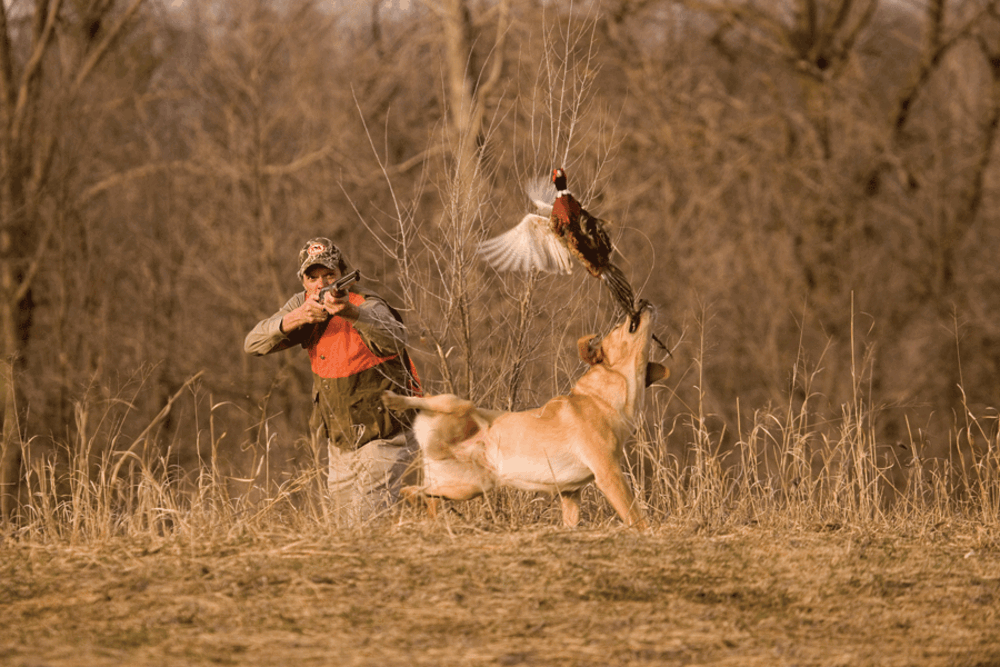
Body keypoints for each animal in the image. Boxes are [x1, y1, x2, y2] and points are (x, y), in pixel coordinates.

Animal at [382, 302, 672, 528]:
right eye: (618, 327)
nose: (641, 302)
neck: (605, 398)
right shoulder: (609, 473)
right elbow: (638, 518)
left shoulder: (571, 493)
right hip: (457, 404)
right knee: (424, 401)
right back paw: (392, 399)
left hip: (469, 486)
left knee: (418, 492)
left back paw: (420, 501)